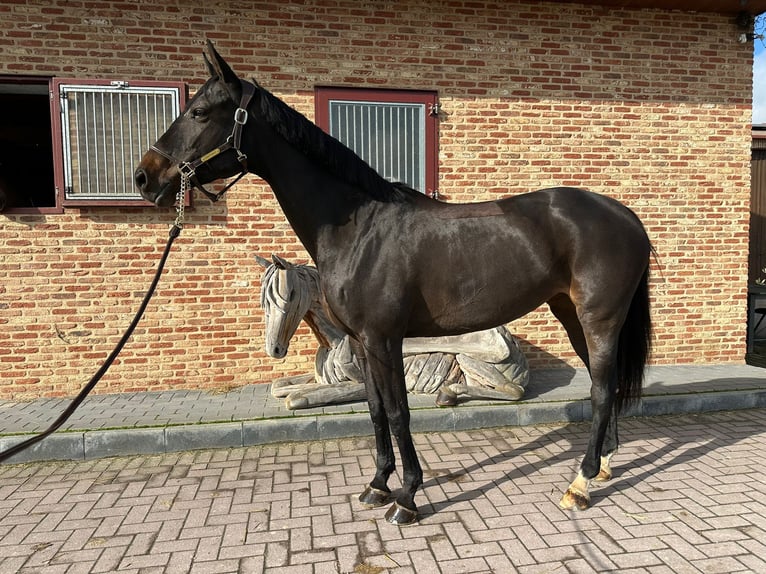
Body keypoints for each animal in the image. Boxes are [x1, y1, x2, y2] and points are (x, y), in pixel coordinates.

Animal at [135, 40, 652, 528]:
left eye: (199, 112)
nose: (144, 177)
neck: (358, 228)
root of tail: (626, 217)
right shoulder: (364, 345)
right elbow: (376, 410)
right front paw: (378, 485)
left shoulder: (384, 340)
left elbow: (401, 412)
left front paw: (407, 498)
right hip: (572, 316)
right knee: (603, 386)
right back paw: (603, 466)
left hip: (599, 320)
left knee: (600, 391)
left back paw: (580, 485)